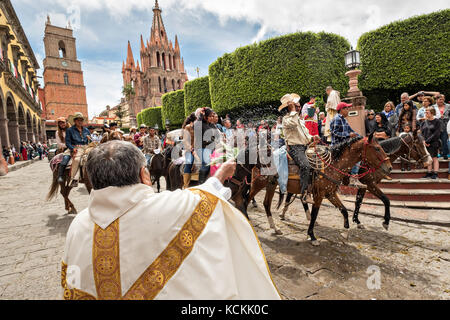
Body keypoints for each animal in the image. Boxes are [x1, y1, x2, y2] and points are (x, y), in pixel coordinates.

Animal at [248, 133, 392, 245]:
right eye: (377, 148)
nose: (389, 167)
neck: (333, 164)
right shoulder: (319, 195)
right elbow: (314, 214)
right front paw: (312, 236)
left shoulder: (330, 193)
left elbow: (344, 211)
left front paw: (345, 233)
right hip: (258, 183)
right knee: (247, 198)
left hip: (271, 185)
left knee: (266, 204)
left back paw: (275, 228)